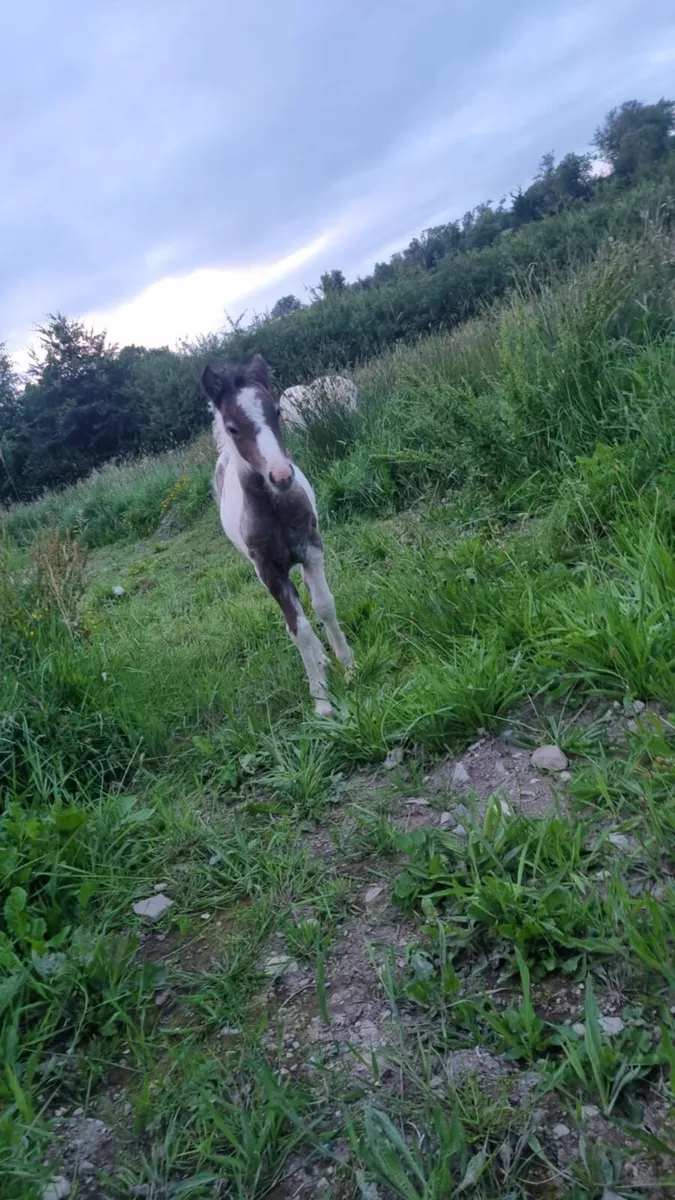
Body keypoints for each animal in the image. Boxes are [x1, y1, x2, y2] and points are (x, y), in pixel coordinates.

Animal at [202, 354, 354, 716]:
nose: (281, 475)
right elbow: (298, 628)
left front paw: (348, 665)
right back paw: (320, 661)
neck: (274, 509)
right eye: (233, 427)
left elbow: (324, 605)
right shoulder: (269, 572)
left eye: (277, 412)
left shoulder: (311, 548)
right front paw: (321, 699)